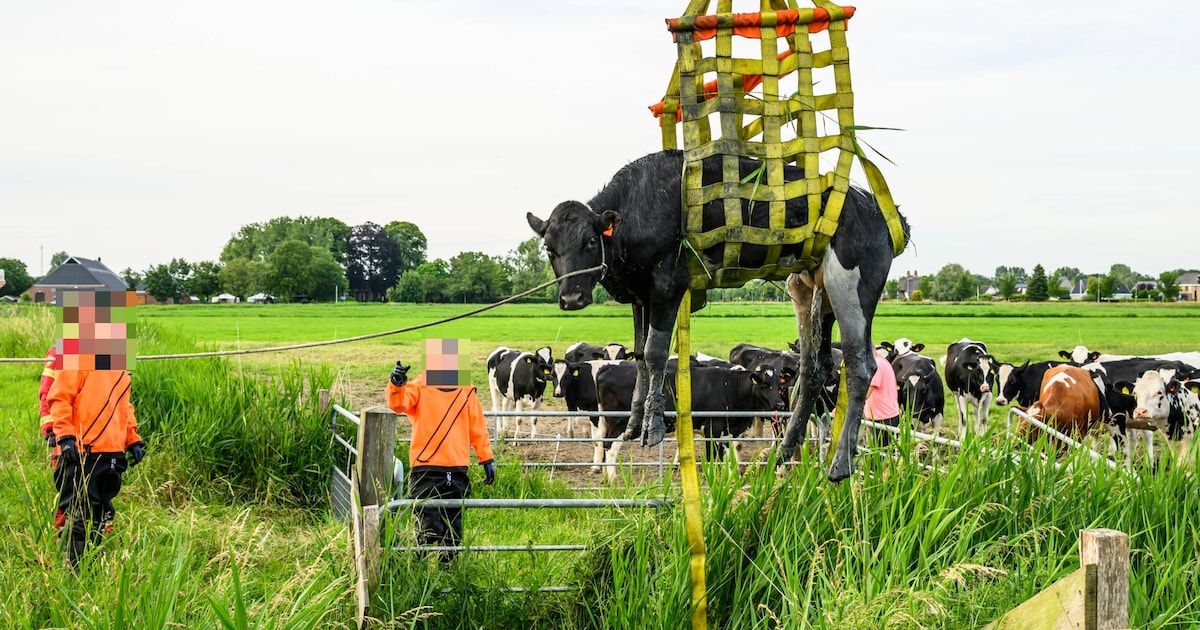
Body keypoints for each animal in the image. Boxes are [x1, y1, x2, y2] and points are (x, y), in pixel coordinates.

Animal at [527, 150, 907, 482]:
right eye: (549, 247)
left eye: (591, 241)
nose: (571, 297)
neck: (638, 205)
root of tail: (881, 211)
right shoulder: (640, 294)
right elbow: (639, 355)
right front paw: (635, 420)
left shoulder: (669, 281)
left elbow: (654, 352)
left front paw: (653, 425)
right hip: (809, 286)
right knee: (815, 367)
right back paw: (783, 452)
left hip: (852, 284)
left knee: (860, 366)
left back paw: (841, 463)